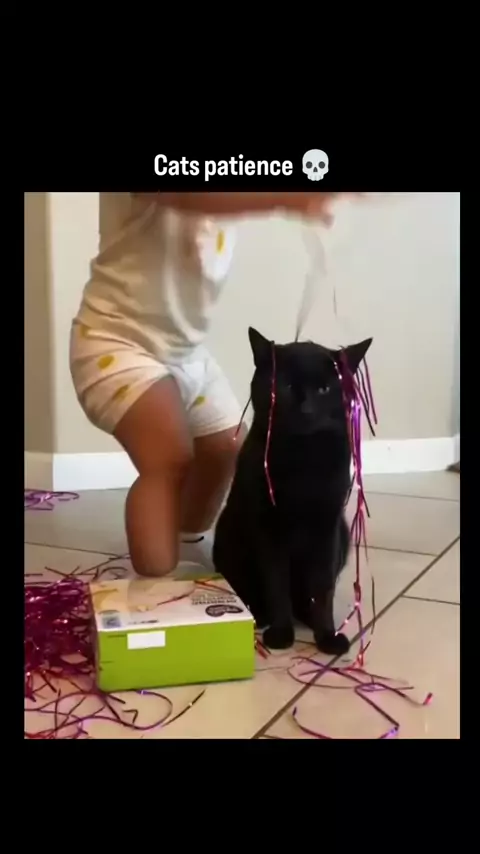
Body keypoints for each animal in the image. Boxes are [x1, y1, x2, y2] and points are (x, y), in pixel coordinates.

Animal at [213, 326, 373, 654]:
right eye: (286, 386)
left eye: (325, 389)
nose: (307, 409)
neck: (303, 459)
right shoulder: (269, 529)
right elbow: (276, 585)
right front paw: (281, 633)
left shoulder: (326, 529)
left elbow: (323, 589)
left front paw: (327, 636)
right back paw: (259, 615)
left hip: (343, 535)